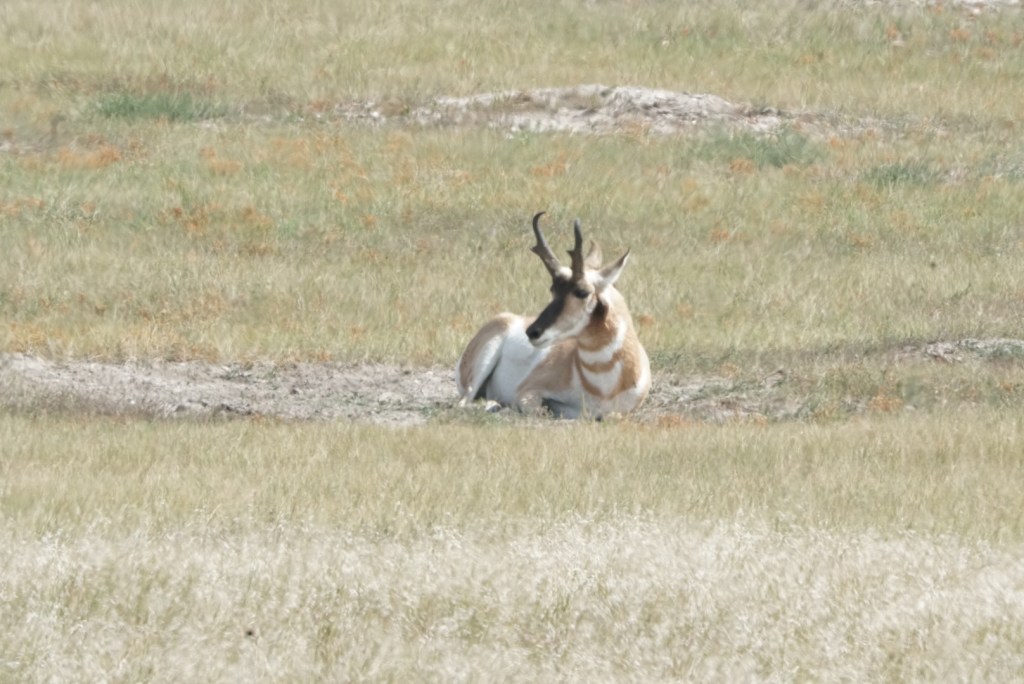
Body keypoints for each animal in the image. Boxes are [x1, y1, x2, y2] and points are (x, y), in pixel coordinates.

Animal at [456, 211, 651, 419]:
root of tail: (505, 318)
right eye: (553, 289)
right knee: (464, 402)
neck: (603, 388)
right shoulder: (528, 391)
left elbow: (611, 416)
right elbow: (538, 409)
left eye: (582, 292)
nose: (532, 332)